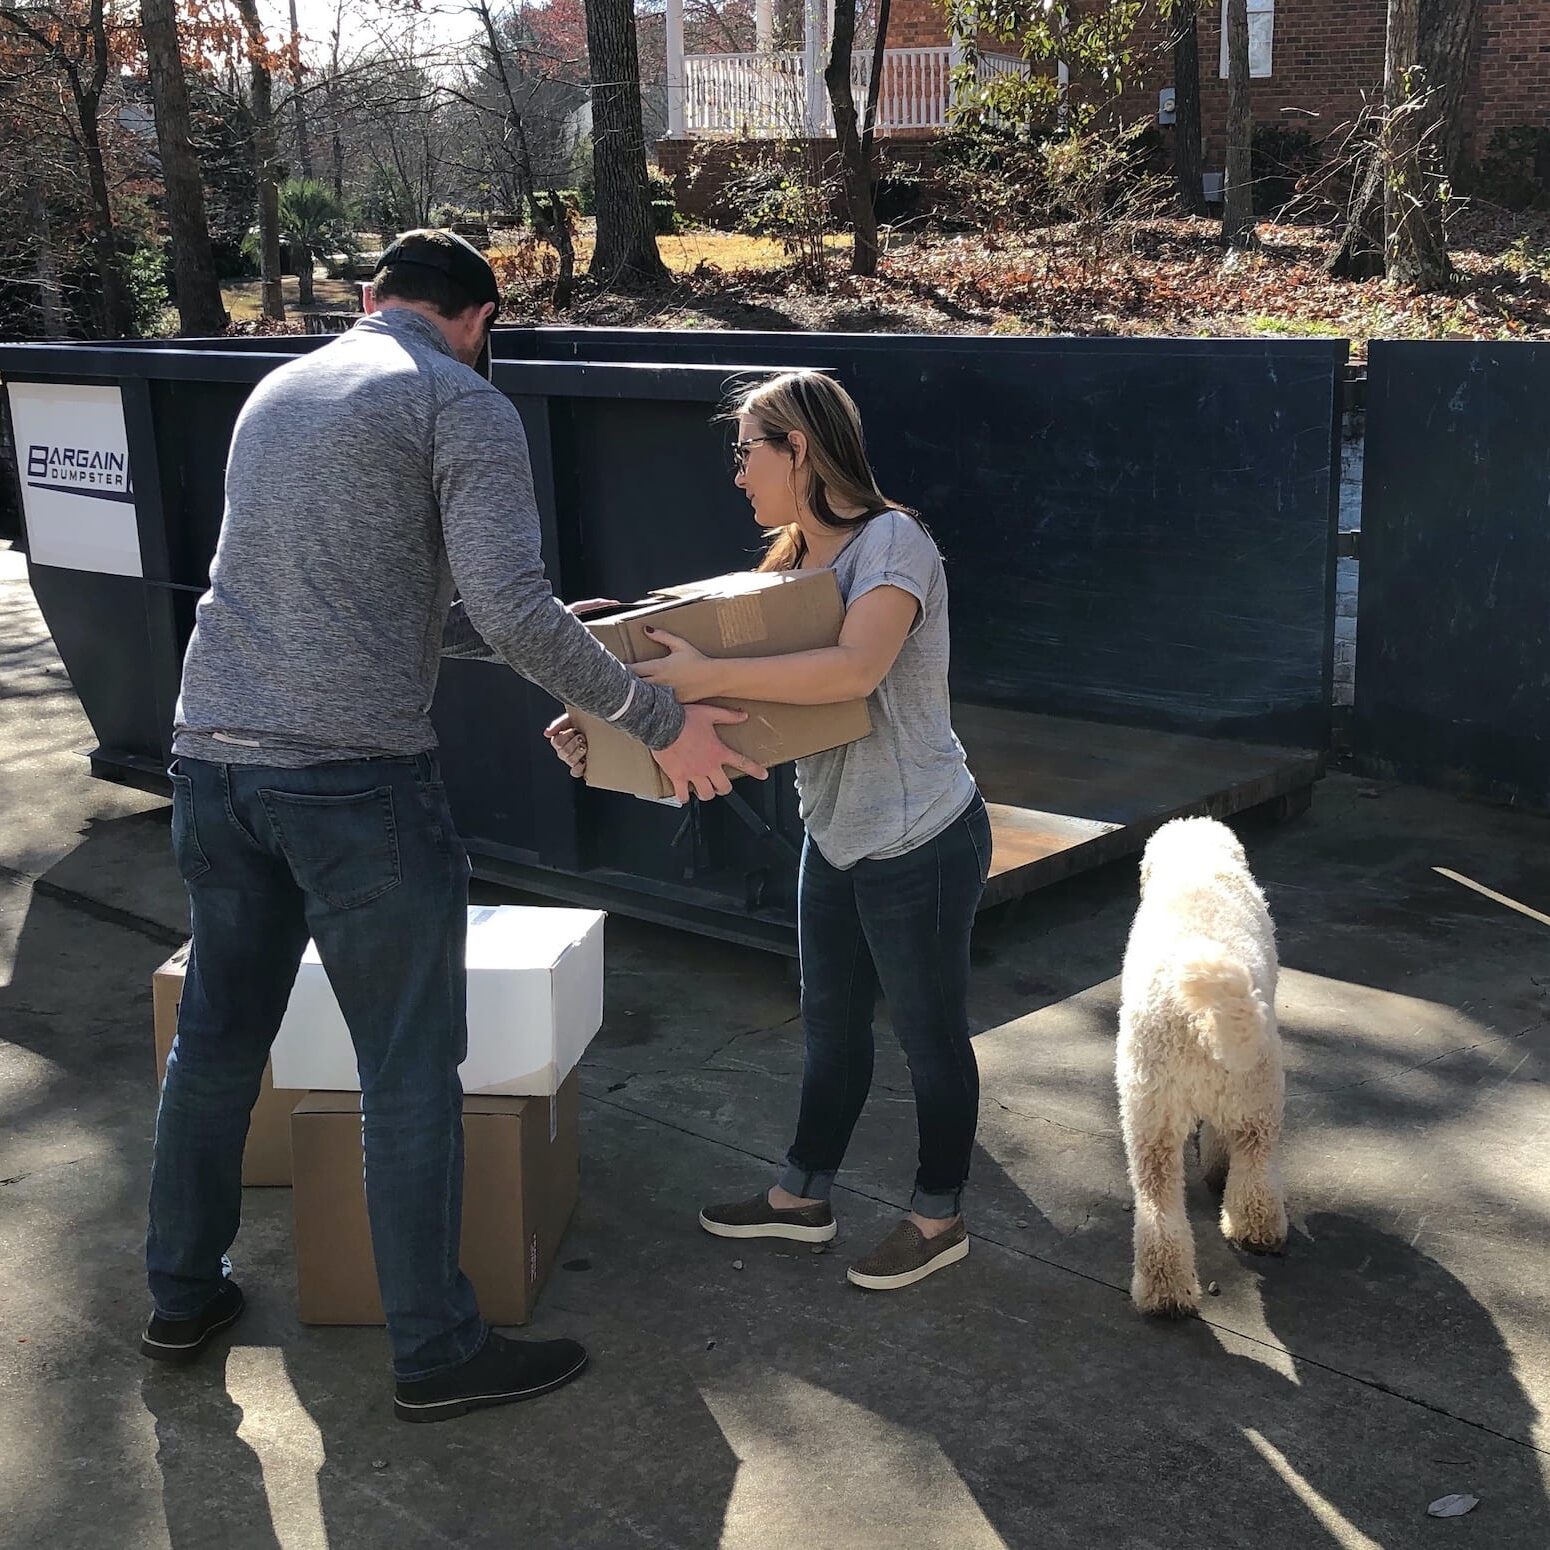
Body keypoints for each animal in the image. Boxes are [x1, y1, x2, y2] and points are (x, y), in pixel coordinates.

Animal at [1116, 818, 1283, 1314]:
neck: (1198, 862)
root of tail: (1196, 1019)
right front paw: (1216, 1165)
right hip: (1258, 1094)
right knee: (1254, 1165)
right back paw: (1257, 1229)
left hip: (1149, 1117)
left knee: (1158, 1206)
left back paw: (1164, 1292)